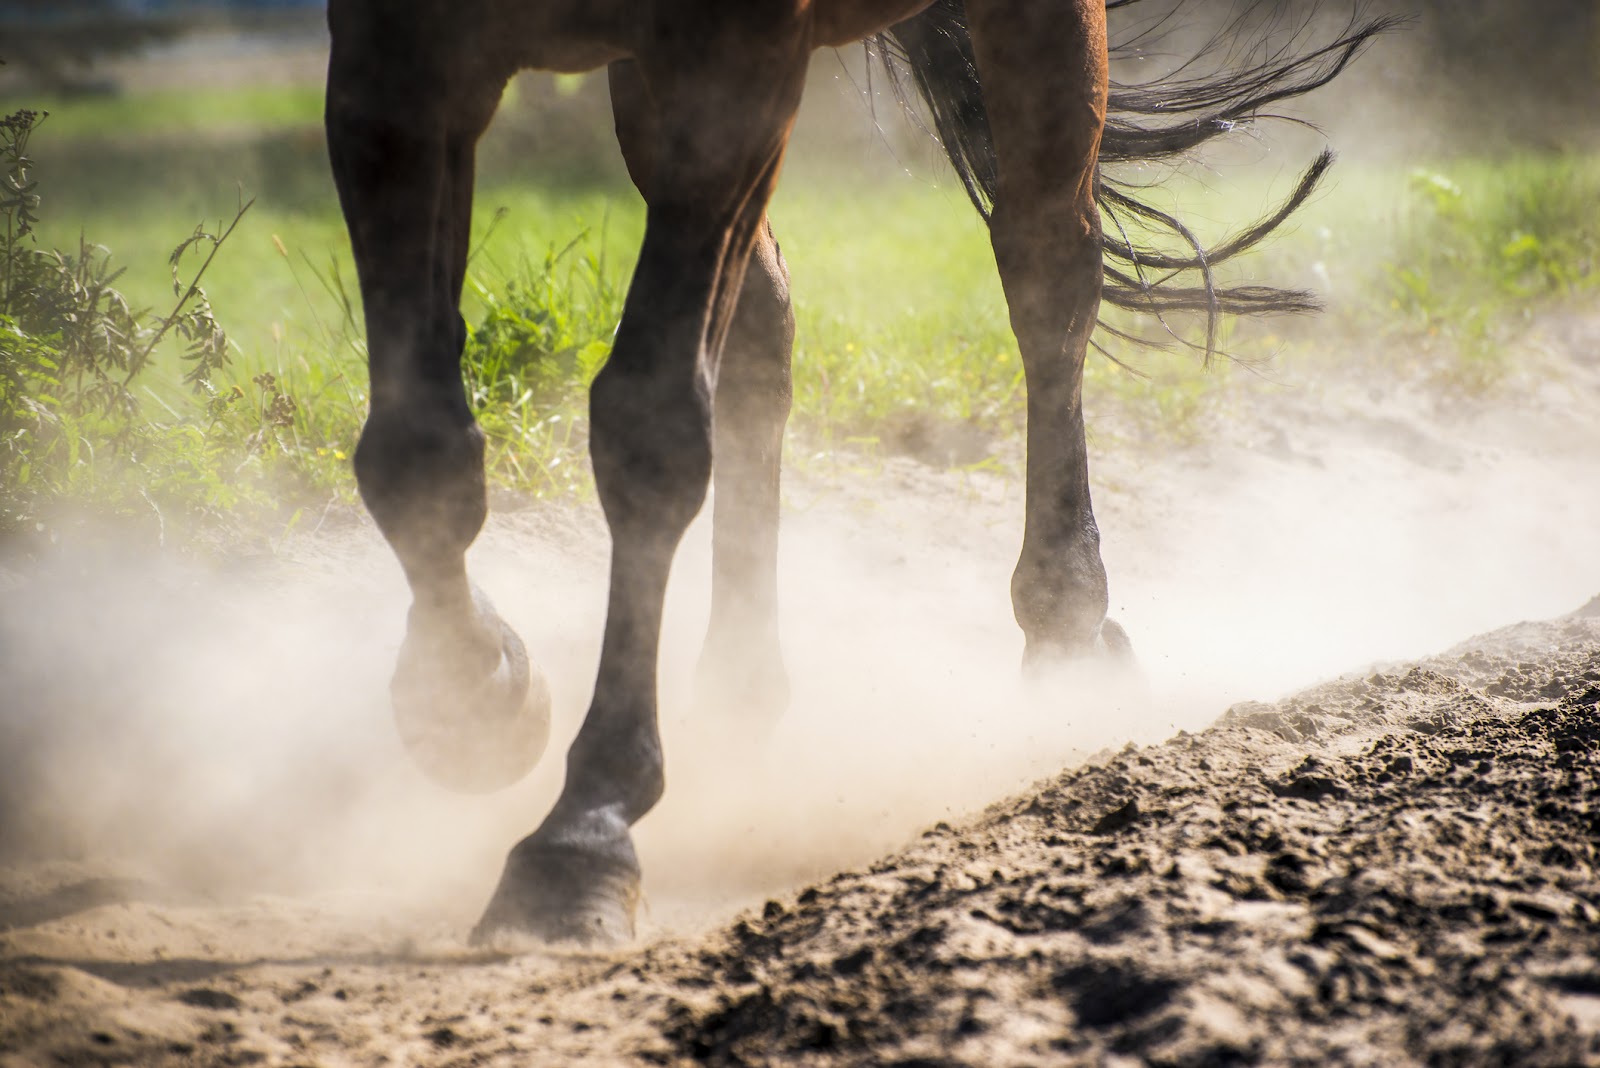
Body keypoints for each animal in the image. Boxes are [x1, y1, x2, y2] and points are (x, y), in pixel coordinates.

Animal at [321, 0, 1388, 940]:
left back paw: (1062, 633)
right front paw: (473, 699)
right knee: (766, 318)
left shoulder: (734, 57)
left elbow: (649, 425)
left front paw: (586, 830)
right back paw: (740, 693)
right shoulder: (392, 57)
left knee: (1050, 267)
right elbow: (415, 445)